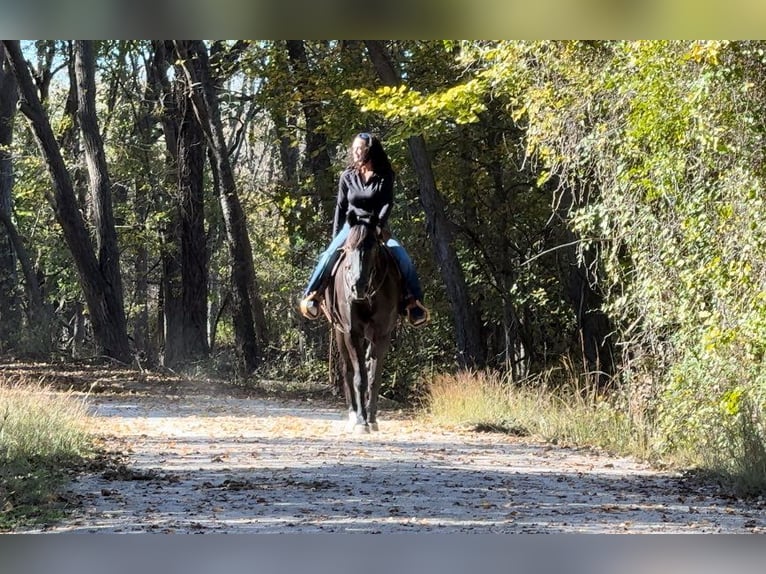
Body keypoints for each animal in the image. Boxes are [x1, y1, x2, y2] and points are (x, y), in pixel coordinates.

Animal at [324, 222, 402, 436]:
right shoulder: (352, 333)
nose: (357, 286)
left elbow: (374, 378)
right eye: (348, 248)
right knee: (347, 372)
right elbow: (360, 378)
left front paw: (372, 419)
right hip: (340, 334)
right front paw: (361, 421)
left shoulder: (382, 335)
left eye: (374, 248)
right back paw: (353, 416)